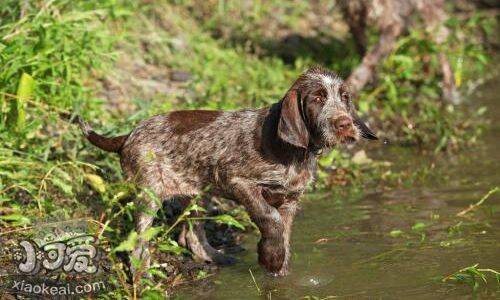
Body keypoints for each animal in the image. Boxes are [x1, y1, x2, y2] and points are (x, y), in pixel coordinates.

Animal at [79, 65, 376, 276]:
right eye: (317, 98)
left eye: (344, 97)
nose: (344, 124)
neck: (295, 151)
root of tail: (129, 134)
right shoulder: (237, 180)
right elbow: (269, 218)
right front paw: (270, 256)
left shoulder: (290, 200)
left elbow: (284, 233)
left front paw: (278, 266)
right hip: (149, 193)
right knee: (138, 243)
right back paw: (142, 275)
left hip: (194, 194)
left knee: (191, 235)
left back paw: (216, 256)